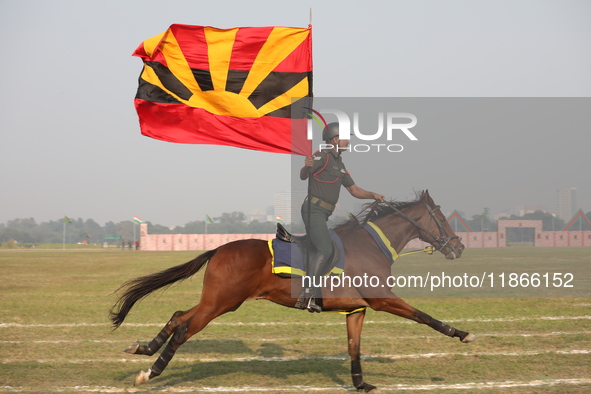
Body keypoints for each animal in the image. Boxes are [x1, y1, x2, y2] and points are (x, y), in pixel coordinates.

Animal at [108, 191, 474, 390]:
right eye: (441, 217)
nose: (458, 247)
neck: (372, 246)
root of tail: (219, 249)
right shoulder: (382, 299)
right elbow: (424, 316)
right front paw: (461, 333)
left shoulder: (356, 308)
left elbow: (354, 347)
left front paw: (360, 383)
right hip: (221, 303)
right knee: (184, 329)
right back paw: (150, 372)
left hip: (218, 300)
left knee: (177, 316)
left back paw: (144, 348)